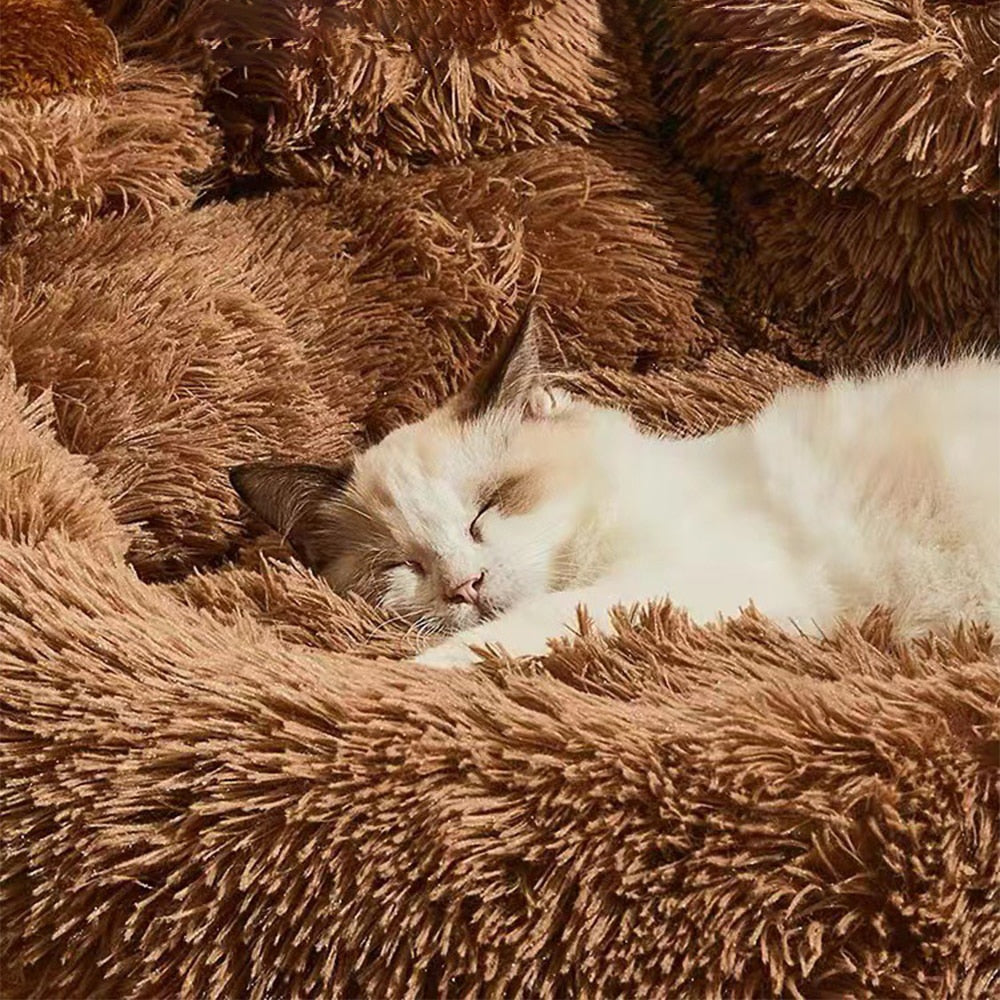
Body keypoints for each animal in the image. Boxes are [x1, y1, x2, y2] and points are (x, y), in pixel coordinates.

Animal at [230, 300, 1000, 668]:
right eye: (401, 565)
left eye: (488, 508)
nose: (465, 587)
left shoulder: (687, 580)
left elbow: (533, 624)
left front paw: (417, 676)